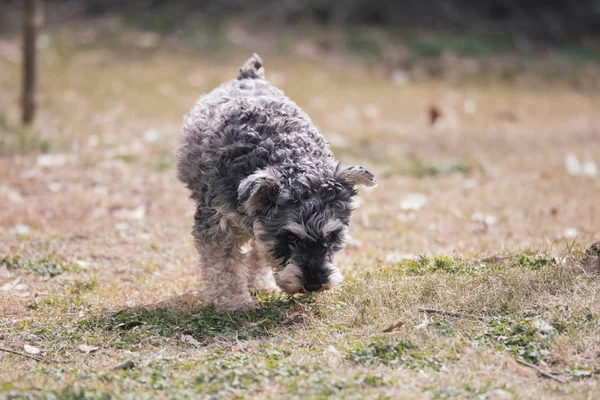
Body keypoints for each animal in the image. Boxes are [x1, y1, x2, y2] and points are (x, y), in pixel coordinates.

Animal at [176, 54, 378, 312]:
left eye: (332, 237)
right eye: (289, 237)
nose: (314, 284)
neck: (285, 152)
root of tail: (249, 77)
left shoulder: (262, 225)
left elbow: (261, 252)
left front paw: (258, 285)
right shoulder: (217, 222)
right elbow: (223, 265)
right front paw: (234, 301)